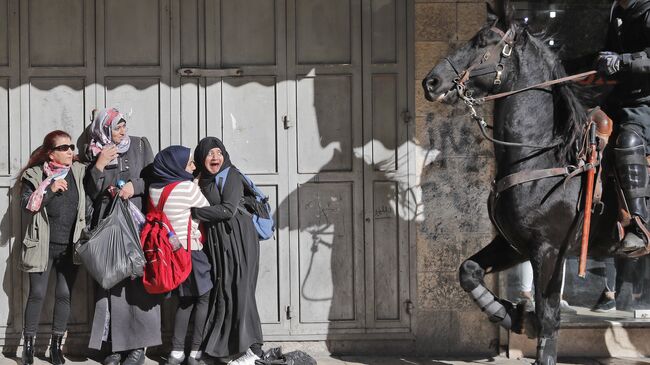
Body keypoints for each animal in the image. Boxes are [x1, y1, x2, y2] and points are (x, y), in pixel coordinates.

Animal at [418, 2, 636, 364]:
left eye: (482, 41)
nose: (431, 81)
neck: (542, 156)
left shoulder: (549, 249)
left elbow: (550, 315)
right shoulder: (514, 244)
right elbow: (468, 270)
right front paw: (516, 316)